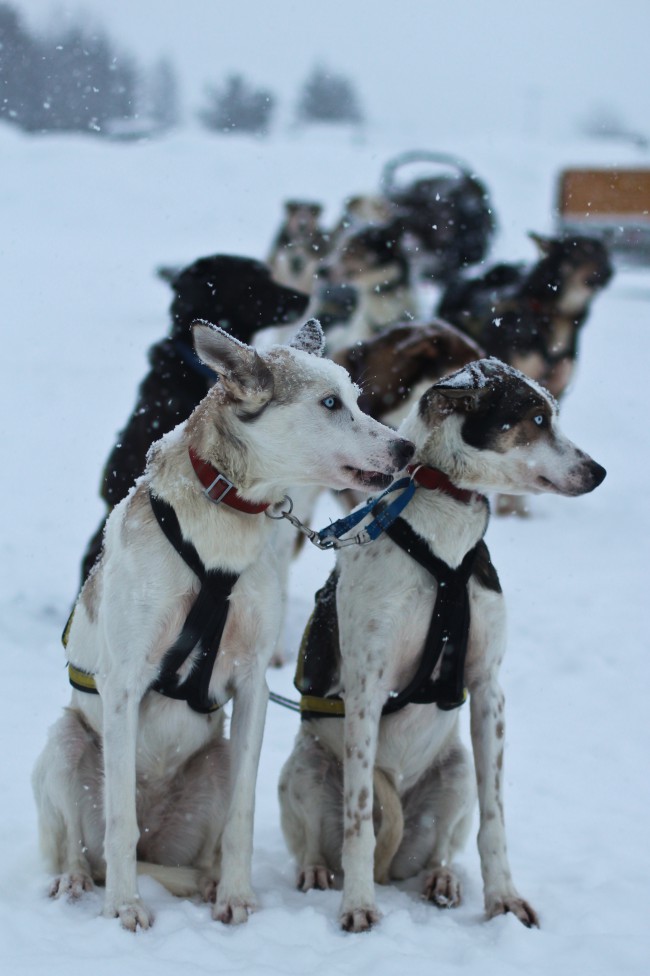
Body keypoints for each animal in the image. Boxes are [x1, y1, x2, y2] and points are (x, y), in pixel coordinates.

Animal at [31, 318, 410, 932]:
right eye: (330, 403)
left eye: (356, 398)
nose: (405, 447)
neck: (224, 520)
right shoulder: (123, 685)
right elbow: (118, 821)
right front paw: (125, 906)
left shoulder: (252, 683)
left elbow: (243, 813)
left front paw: (235, 895)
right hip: (67, 743)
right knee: (84, 846)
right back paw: (78, 879)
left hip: (217, 759)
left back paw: (208, 881)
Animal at [278, 358, 604, 932]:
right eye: (537, 418)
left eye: (552, 415)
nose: (598, 471)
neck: (444, 539)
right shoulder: (367, 689)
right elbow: (360, 821)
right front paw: (357, 904)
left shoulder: (488, 688)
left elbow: (495, 822)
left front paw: (504, 899)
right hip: (304, 769)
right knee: (318, 842)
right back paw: (320, 873)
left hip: (456, 776)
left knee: (439, 850)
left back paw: (441, 880)